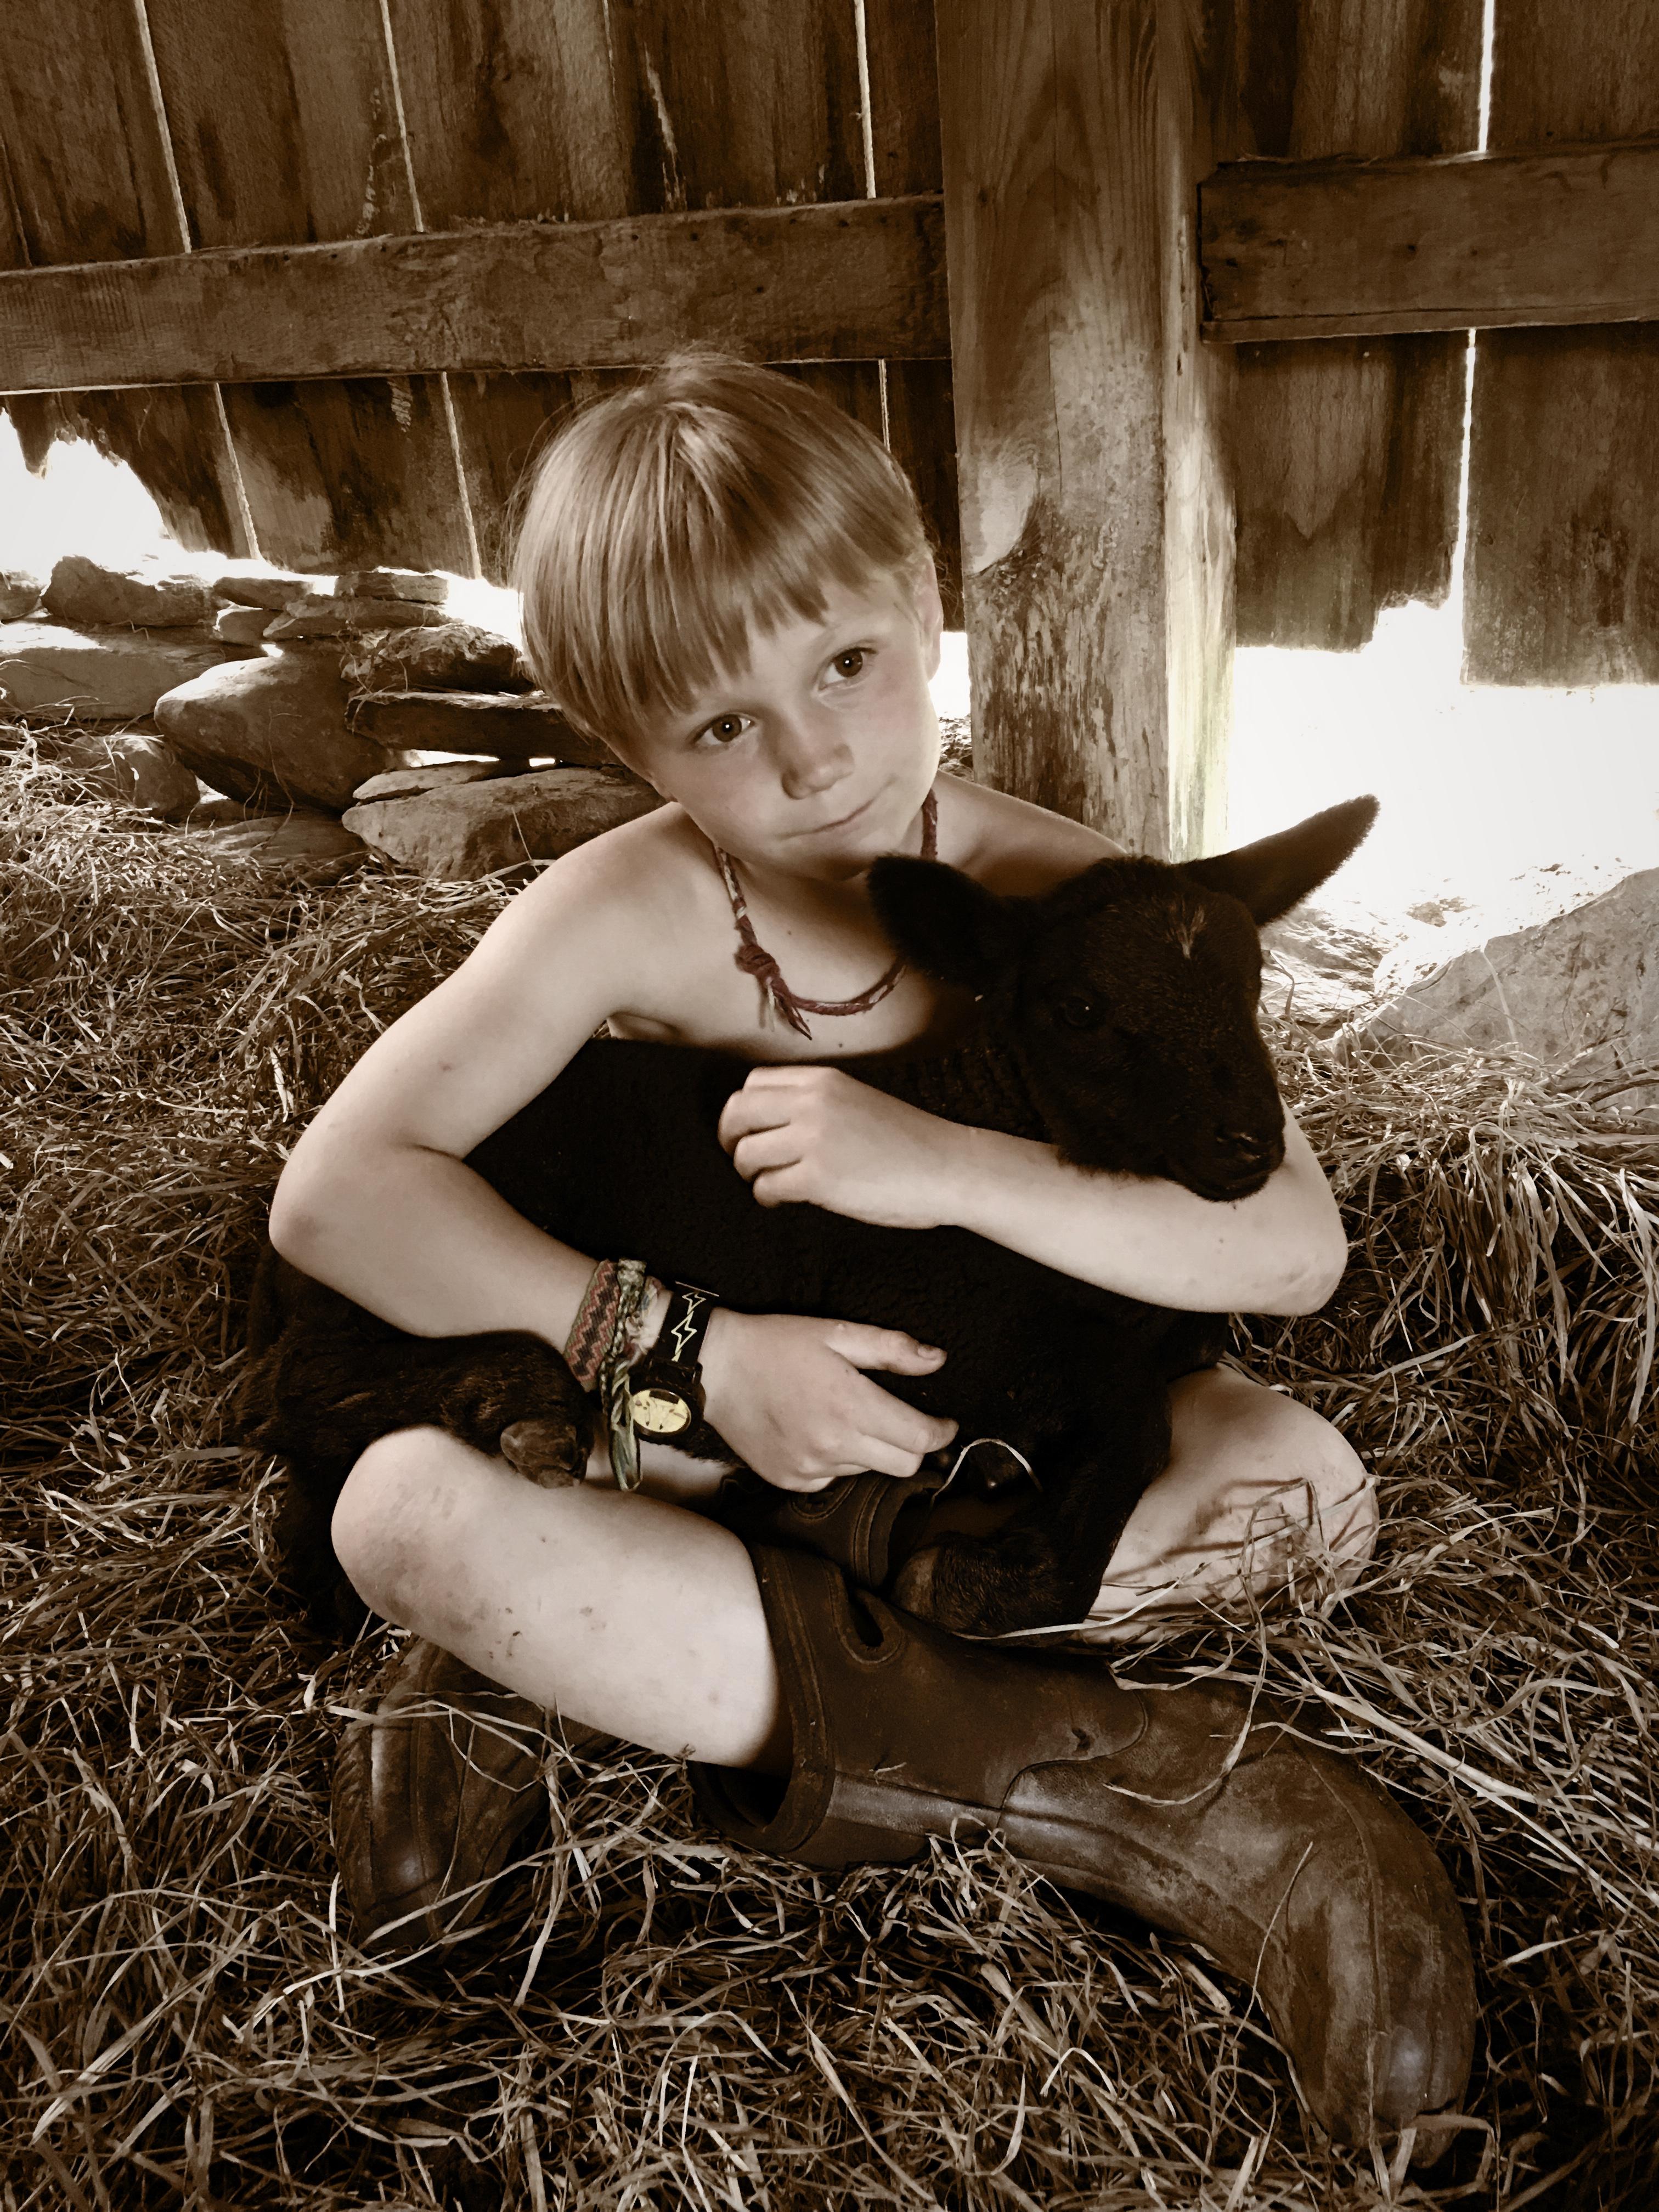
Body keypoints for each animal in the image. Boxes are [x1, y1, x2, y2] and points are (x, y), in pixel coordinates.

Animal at [234, 796, 1380, 1645]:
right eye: (1082, 1009)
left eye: (1253, 982)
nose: (1248, 1145)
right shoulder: (944, 1349)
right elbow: (1131, 1420)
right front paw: (980, 1583)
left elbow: (1150, 1388)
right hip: (383, 1272)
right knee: (303, 1396)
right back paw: (519, 1402)